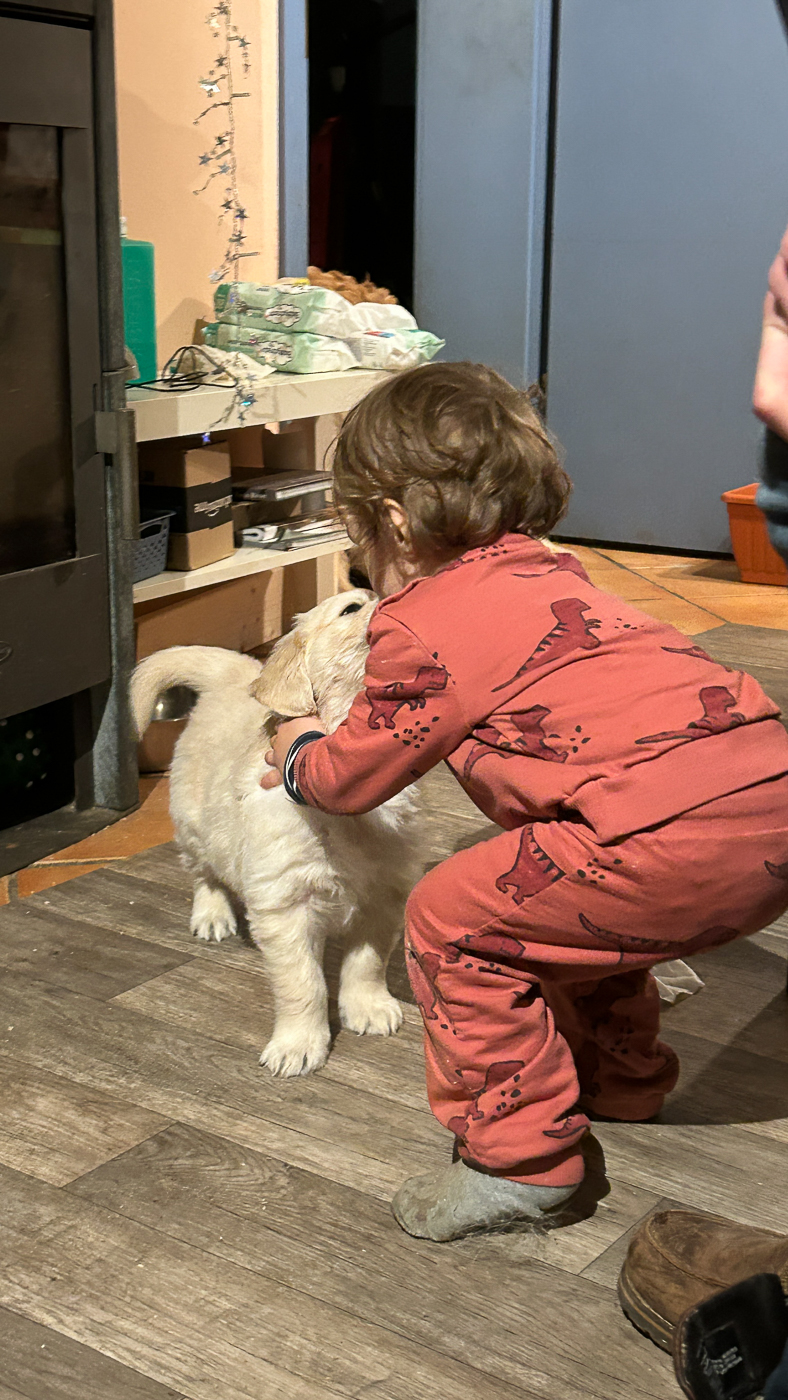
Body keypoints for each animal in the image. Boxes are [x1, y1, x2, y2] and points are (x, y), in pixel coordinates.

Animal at [131, 590, 423, 1077]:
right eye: (352, 607)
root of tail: (236, 672)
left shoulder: (384, 894)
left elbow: (367, 960)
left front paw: (368, 1007)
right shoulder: (285, 906)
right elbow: (304, 983)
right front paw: (298, 1045)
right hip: (193, 822)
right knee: (203, 873)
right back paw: (212, 915)